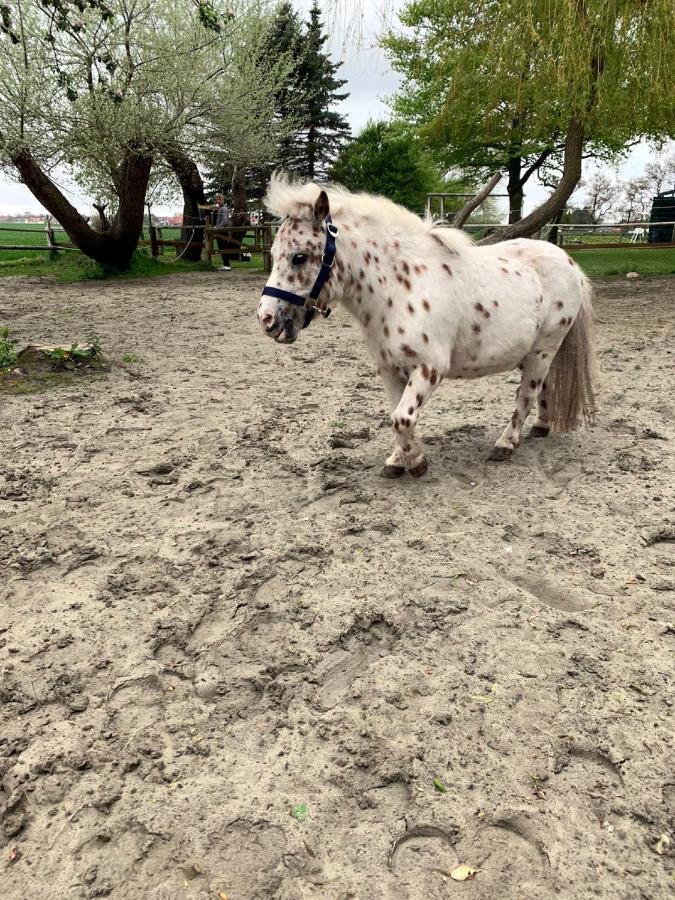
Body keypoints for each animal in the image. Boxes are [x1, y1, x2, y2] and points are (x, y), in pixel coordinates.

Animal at [258, 171, 596, 474]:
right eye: (274, 252)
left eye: (299, 257)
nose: (267, 319)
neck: (399, 288)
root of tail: (569, 262)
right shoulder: (389, 370)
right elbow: (395, 413)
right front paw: (398, 461)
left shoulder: (429, 368)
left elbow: (402, 418)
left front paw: (416, 462)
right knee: (543, 387)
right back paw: (541, 426)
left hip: (544, 349)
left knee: (526, 394)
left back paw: (505, 443)